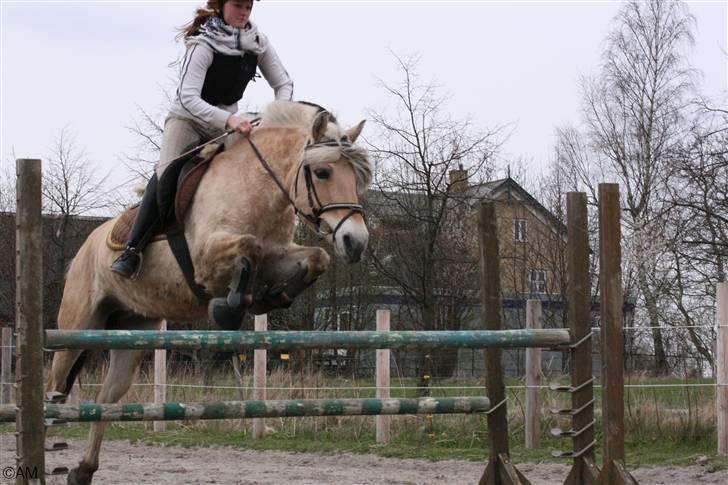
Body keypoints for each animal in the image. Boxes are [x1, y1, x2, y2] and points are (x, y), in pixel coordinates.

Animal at [44, 100, 376, 482]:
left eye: (358, 179)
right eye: (322, 173)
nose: (355, 242)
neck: (259, 187)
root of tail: (85, 247)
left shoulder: (279, 254)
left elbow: (315, 258)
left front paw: (270, 296)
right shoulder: (206, 255)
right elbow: (248, 248)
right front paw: (229, 307)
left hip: (132, 330)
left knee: (106, 398)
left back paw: (83, 470)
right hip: (76, 328)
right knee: (54, 386)